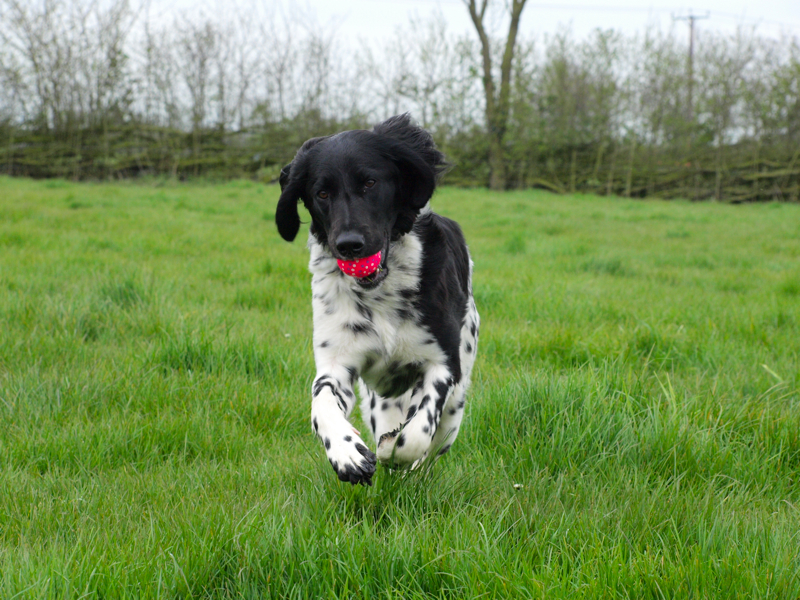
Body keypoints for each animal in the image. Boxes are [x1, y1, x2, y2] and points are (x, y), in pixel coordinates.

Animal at [276, 113, 478, 488]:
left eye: (370, 182)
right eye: (321, 192)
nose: (349, 244)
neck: (380, 291)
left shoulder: (443, 364)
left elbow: (416, 434)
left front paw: (392, 450)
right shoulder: (337, 362)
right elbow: (322, 402)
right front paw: (348, 454)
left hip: (457, 399)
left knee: (434, 441)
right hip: (378, 402)